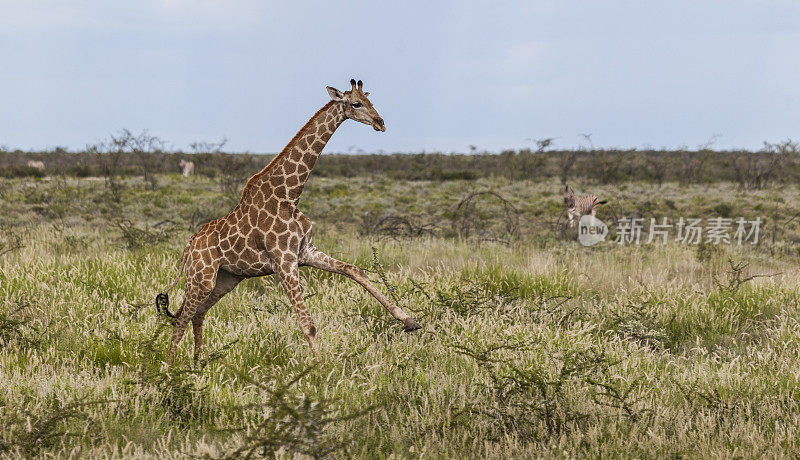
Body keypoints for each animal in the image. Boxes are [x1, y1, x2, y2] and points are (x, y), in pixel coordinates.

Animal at [152, 79, 422, 366]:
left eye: (371, 100)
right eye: (356, 103)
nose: (380, 122)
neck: (290, 196)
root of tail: (189, 245)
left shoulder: (305, 252)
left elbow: (354, 270)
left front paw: (409, 321)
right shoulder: (283, 261)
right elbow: (307, 323)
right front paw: (321, 368)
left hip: (225, 279)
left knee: (195, 313)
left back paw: (198, 364)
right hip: (201, 276)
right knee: (181, 316)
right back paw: (169, 369)